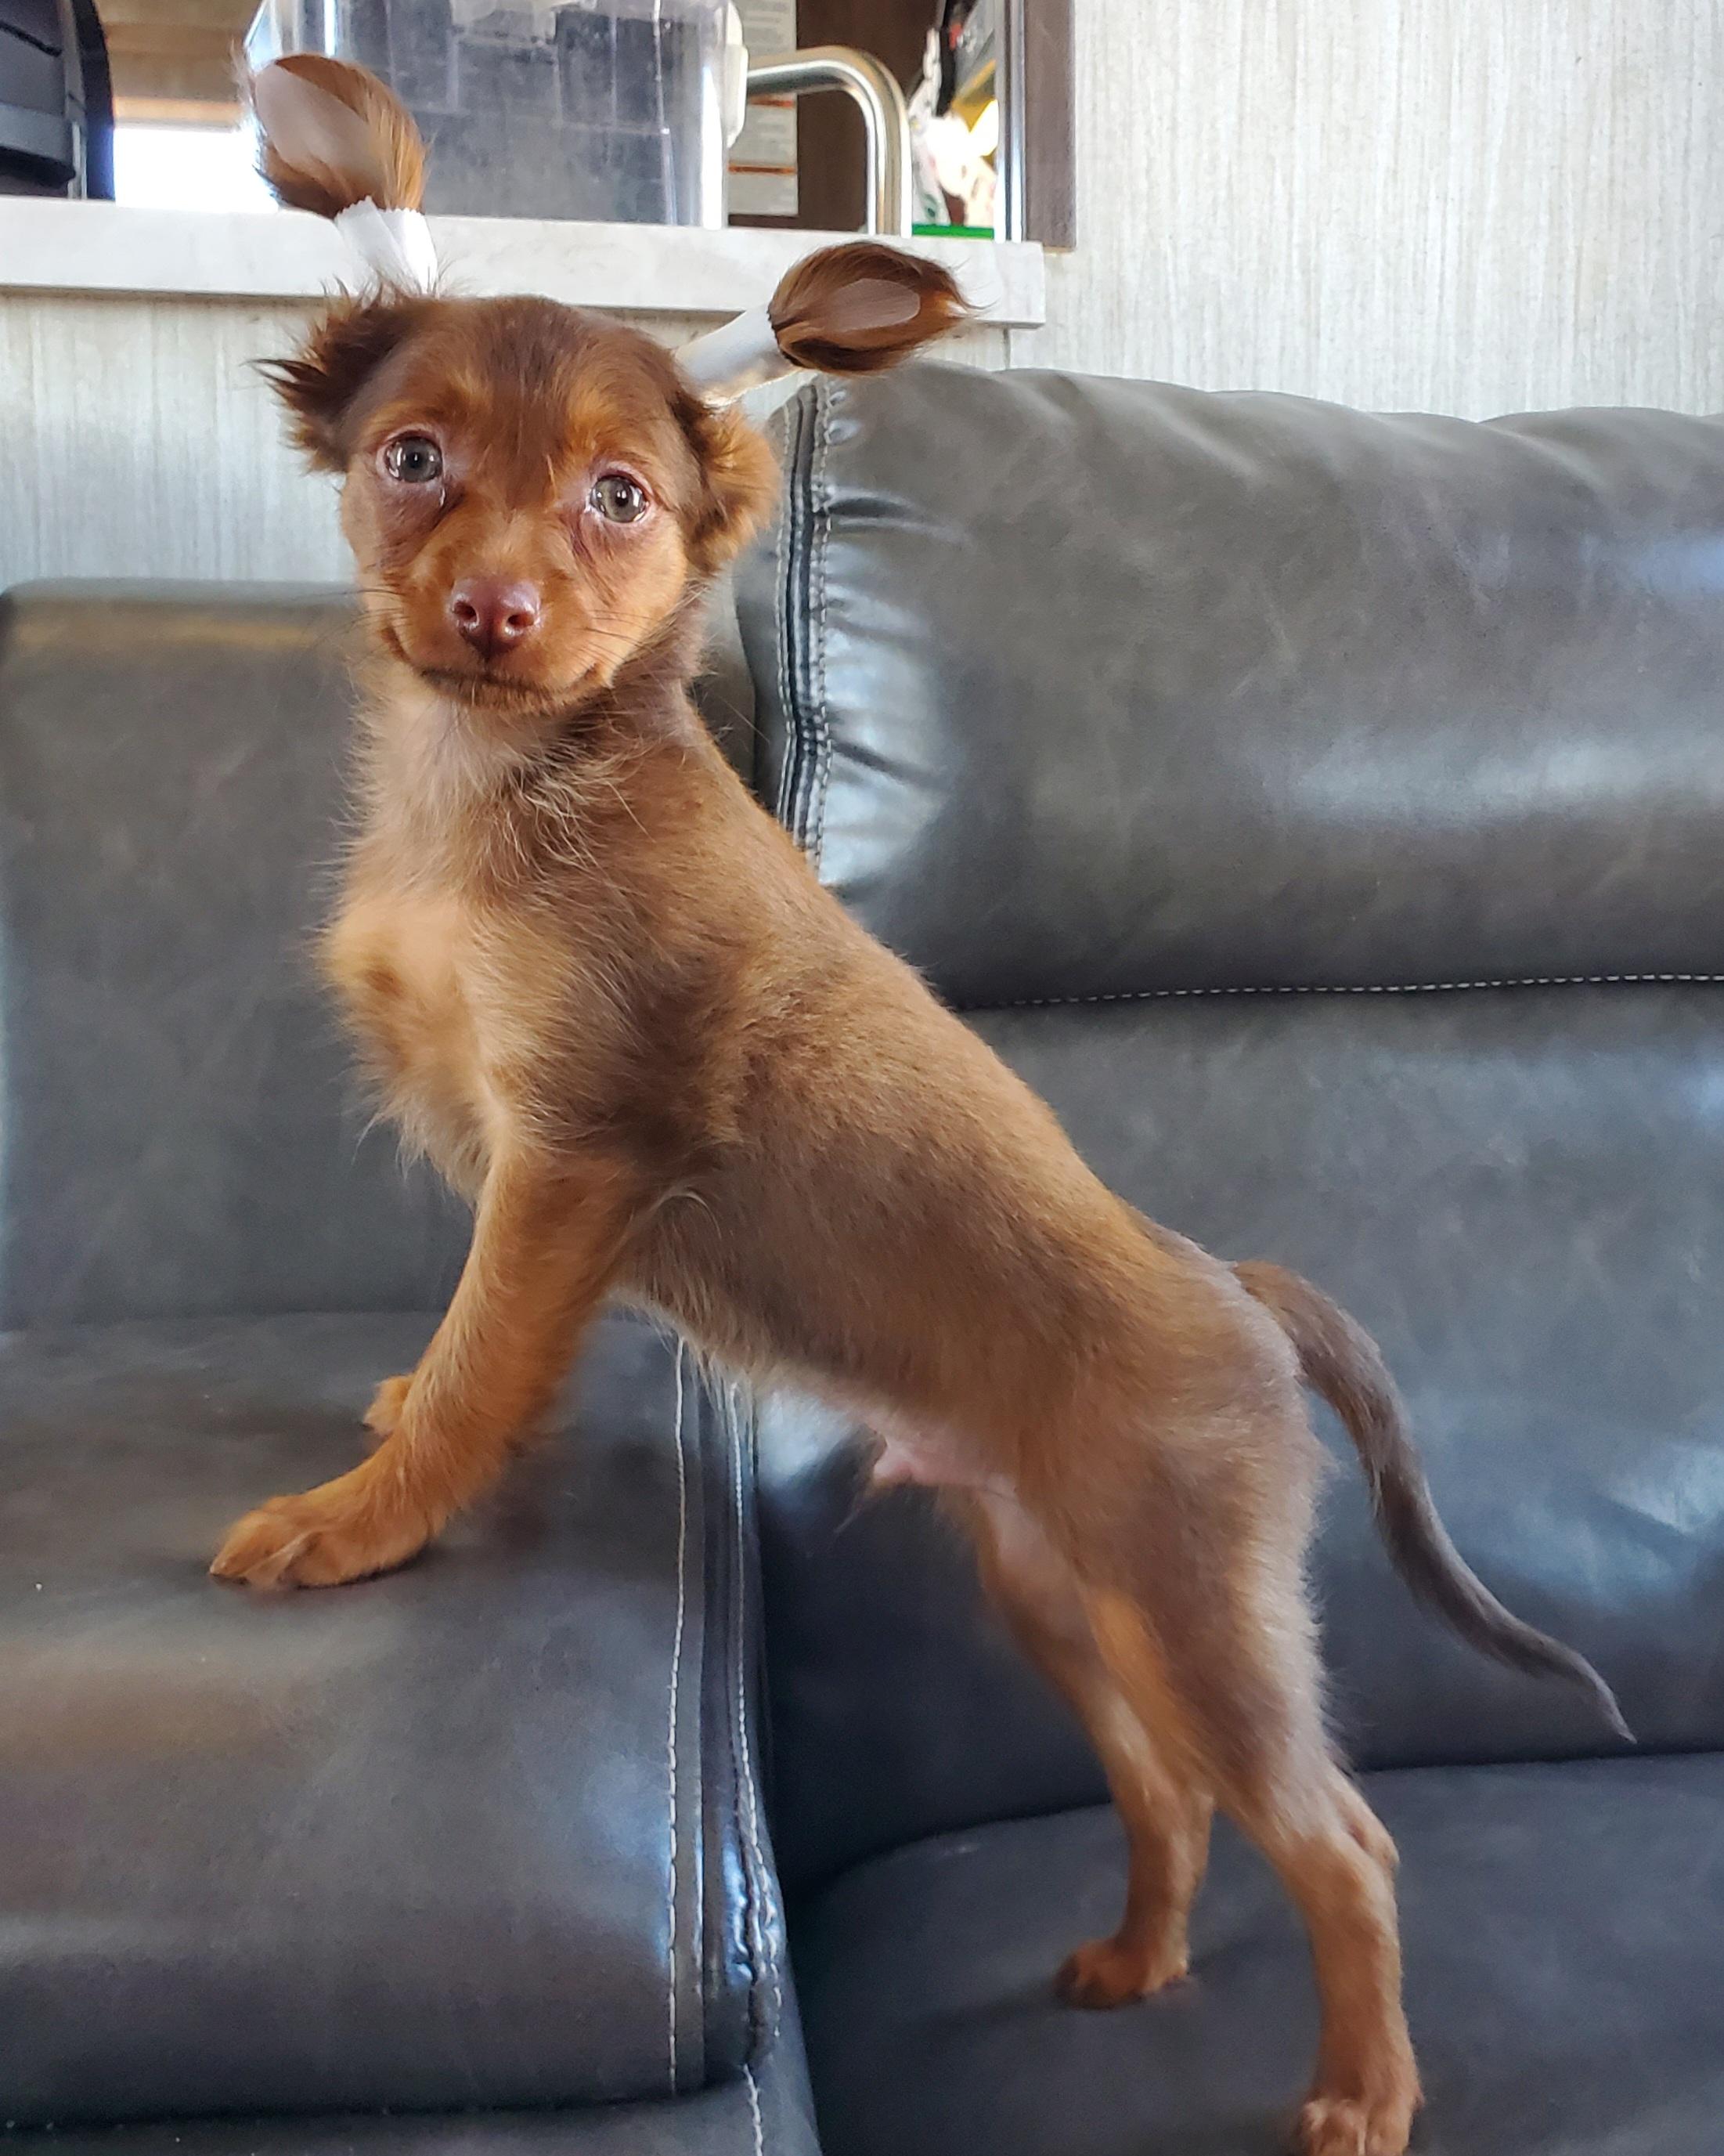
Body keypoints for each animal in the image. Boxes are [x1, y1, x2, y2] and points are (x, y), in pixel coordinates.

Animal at [213, 57, 1626, 2156]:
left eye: (619, 499)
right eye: (411, 458)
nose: (493, 610)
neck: (509, 786)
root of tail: (1233, 1288)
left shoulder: (579, 1153)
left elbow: (485, 1362)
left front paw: (356, 1518)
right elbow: (459, 1342)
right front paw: (386, 1418)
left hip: (1194, 1604)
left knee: (1340, 1838)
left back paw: (1361, 2094)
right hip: (1060, 1587)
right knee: (1169, 1789)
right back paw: (1136, 1959)